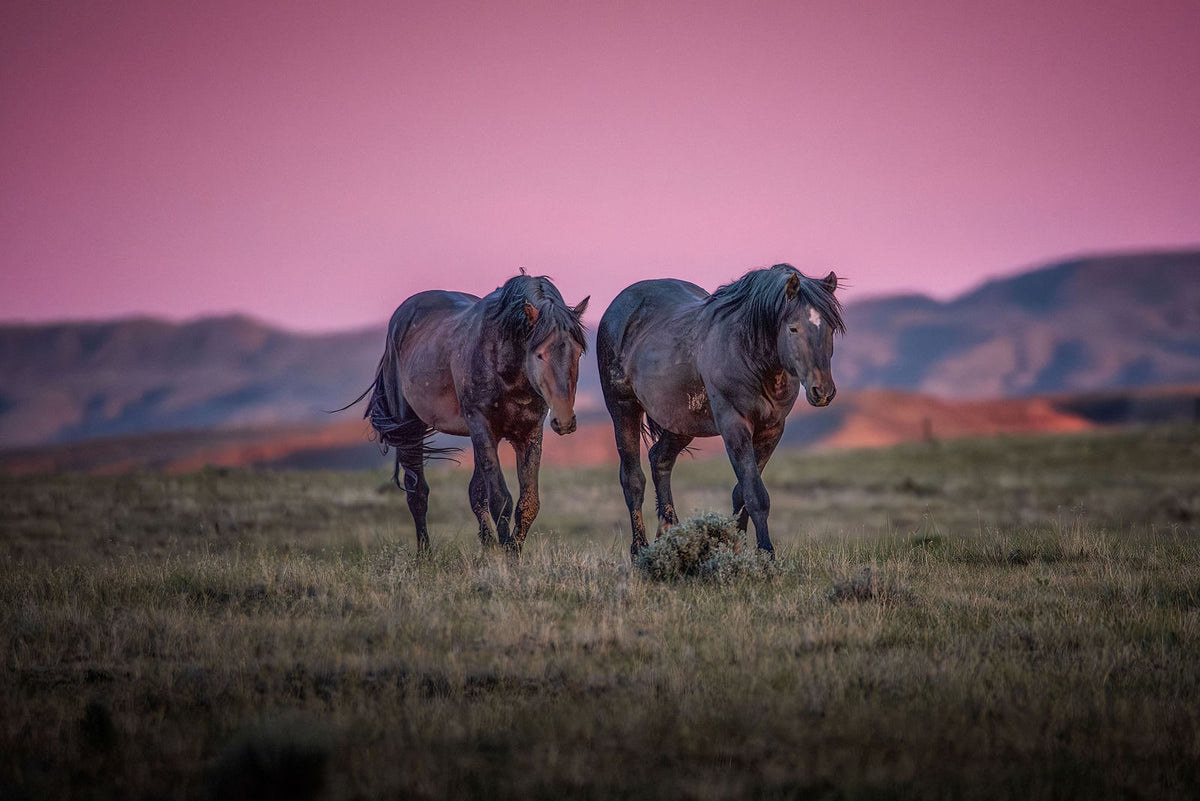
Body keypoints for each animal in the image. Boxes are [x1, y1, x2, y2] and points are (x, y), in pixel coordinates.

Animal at [347, 274, 589, 551]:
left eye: (577, 353)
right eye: (539, 354)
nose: (565, 421)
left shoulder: (529, 433)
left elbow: (528, 503)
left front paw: (512, 551)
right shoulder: (482, 426)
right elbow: (500, 500)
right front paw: (506, 555)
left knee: (475, 493)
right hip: (410, 427)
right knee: (417, 493)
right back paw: (425, 553)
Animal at [596, 264, 843, 557]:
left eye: (830, 328)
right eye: (793, 328)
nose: (823, 391)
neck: (748, 354)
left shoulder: (771, 430)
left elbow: (742, 493)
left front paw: (738, 549)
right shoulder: (734, 425)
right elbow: (755, 495)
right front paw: (766, 555)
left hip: (681, 422)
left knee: (660, 460)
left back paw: (670, 536)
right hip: (623, 410)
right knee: (633, 479)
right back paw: (640, 551)